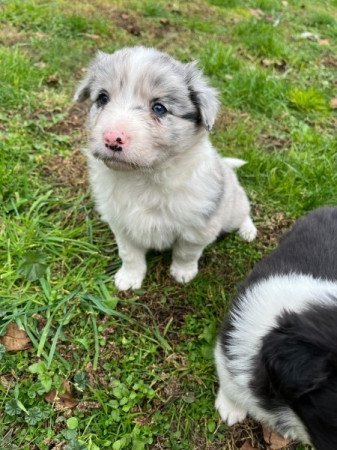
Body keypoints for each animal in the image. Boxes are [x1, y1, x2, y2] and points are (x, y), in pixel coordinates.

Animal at [74, 46, 255, 292]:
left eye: (159, 108)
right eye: (102, 98)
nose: (112, 138)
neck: (143, 176)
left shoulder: (197, 228)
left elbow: (186, 253)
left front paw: (183, 273)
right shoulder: (122, 224)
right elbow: (130, 254)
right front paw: (129, 278)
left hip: (232, 209)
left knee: (244, 212)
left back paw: (248, 231)